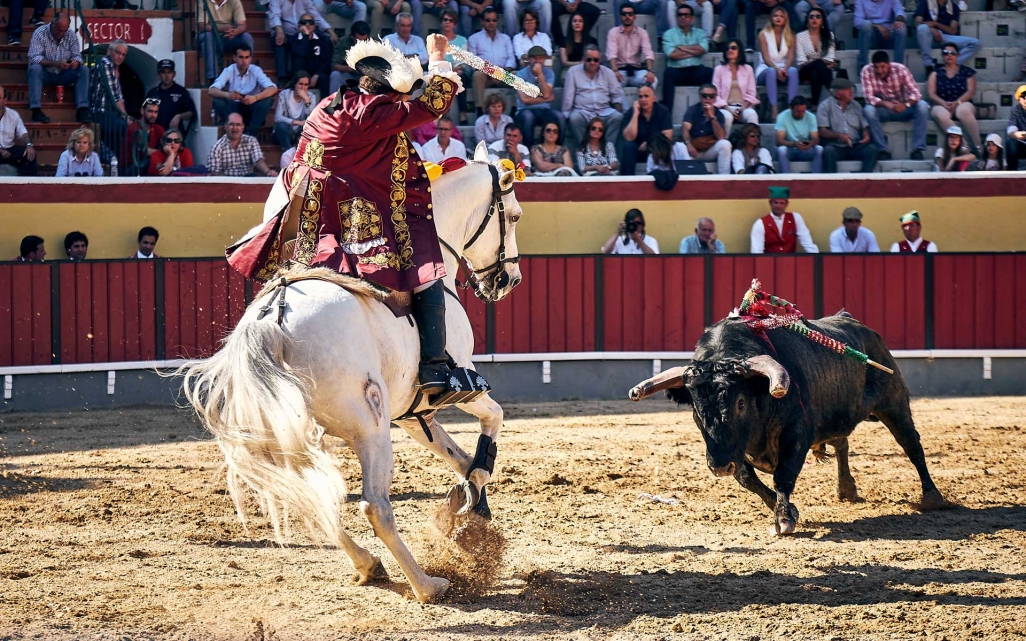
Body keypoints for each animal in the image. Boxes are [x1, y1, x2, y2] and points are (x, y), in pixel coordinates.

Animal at [180, 143, 525, 598]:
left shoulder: (413, 412)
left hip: (285, 433)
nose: (509, 280)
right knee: (374, 506)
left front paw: (464, 502)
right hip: (368, 426)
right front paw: (471, 501)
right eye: (515, 215)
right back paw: (426, 584)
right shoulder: (461, 384)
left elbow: (457, 454)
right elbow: (492, 426)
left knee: (308, 496)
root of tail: (272, 319)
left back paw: (369, 564)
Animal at [627, 311, 948, 533]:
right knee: (842, 443)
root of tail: (863, 328)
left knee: (912, 445)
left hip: (894, 403)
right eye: (695, 408)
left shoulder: (796, 433)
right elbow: (747, 478)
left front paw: (783, 518)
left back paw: (932, 497)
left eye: (740, 403)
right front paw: (787, 508)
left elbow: (784, 475)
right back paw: (846, 489)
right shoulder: (734, 450)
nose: (718, 466)